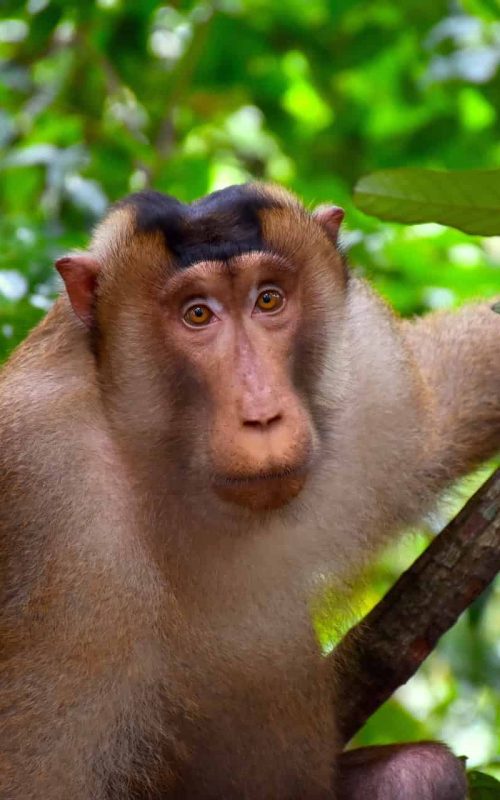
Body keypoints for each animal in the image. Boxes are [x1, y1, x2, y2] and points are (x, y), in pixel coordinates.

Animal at [1, 182, 498, 800]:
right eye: (197, 314)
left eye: (268, 300)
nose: (262, 414)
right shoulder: (55, 510)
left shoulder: (371, 364)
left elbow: (438, 418)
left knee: (418, 773)